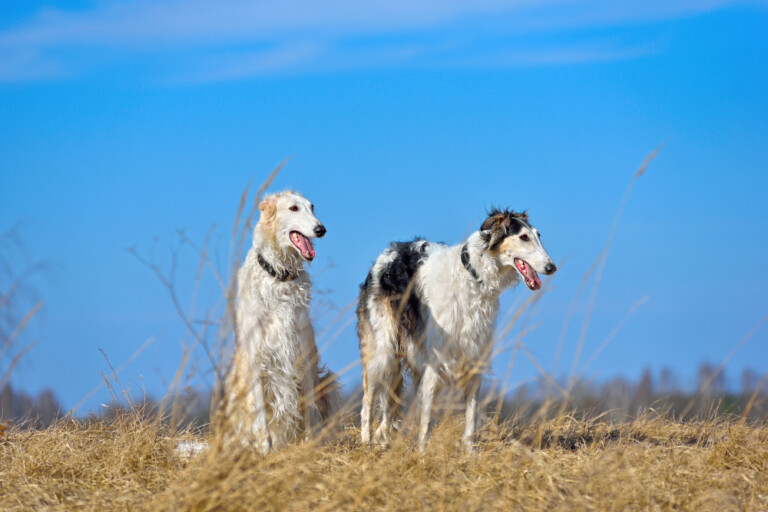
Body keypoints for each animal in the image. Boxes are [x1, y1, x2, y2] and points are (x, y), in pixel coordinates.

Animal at [222, 191, 342, 452]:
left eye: (312, 207)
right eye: (293, 208)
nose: (321, 229)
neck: (279, 278)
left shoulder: (303, 354)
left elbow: (309, 414)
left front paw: (308, 447)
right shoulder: (256, 359)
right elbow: (260, 419)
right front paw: (265, 451)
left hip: (327, 383)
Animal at [356, 208, 556, 448]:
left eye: (538, 235)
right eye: (523, 237)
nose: (551, 267)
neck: (473, 277)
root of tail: (386, 254)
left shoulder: (473, 356)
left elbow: (470, 416)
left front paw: (469, 450)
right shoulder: (435, 361)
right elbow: (426, 417)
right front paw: (422, 452)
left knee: (389, 405)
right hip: (382, 351)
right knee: (368, 402)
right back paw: (366, 444)